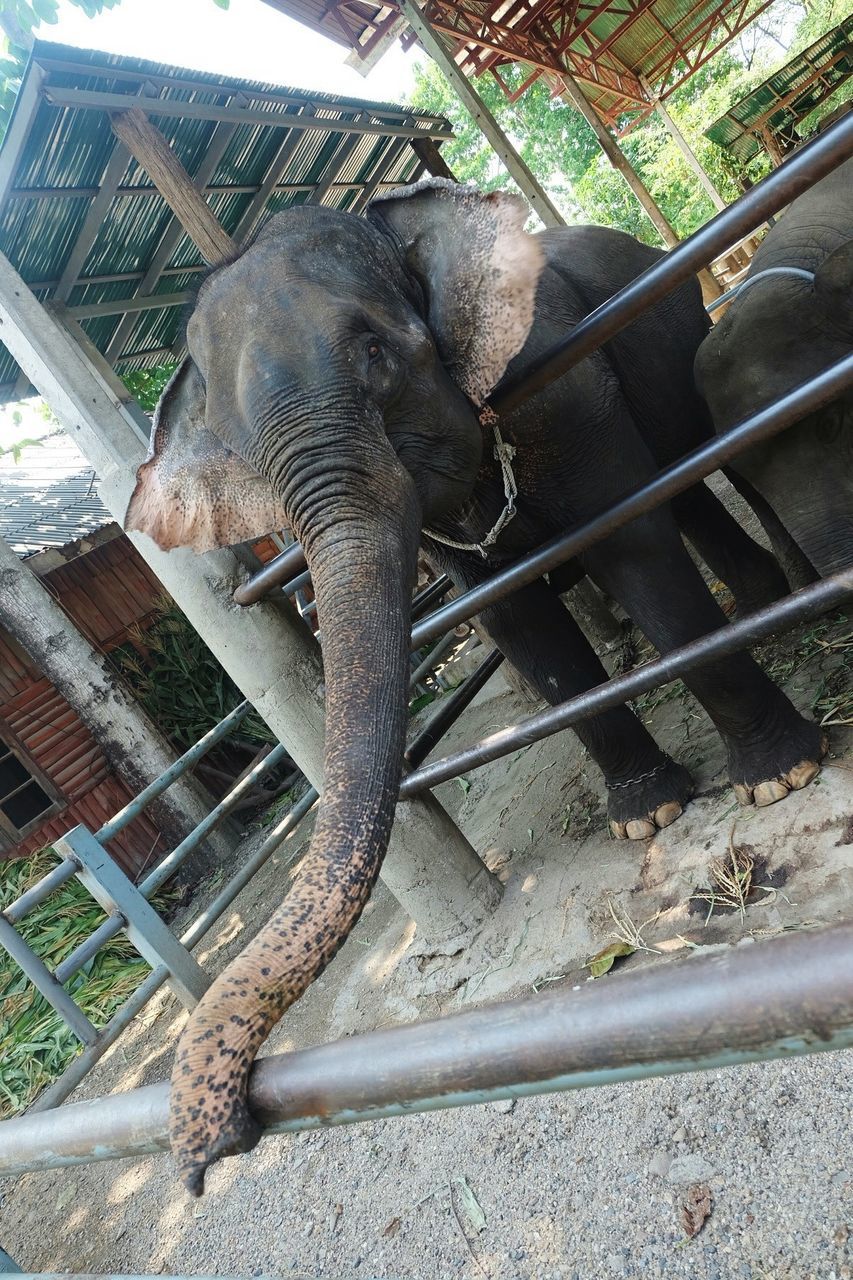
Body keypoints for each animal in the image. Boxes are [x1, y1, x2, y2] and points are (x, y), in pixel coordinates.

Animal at [126, 183, 824, 1198]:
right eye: (239, 455)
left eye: (376, 354)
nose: (202, 1161)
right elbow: (513, 621)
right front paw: (643, 817)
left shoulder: (558, 380)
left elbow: (626, 539)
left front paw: (777, 781)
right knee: (685, 492)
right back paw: (764, 603)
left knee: (699, 469)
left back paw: (778, 604)